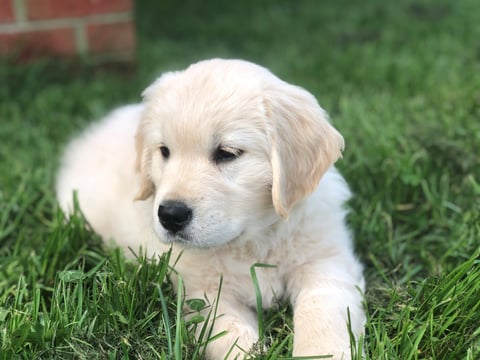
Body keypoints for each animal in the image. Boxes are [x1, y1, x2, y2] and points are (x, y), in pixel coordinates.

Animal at [55, 59, 364, 360]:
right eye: (164, 151)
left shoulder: (326, 261)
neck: (255, 240)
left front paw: (321, 352)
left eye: (227, 153)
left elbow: (322, 310)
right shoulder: (203, 293)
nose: (170, 215)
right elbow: (233, 336)